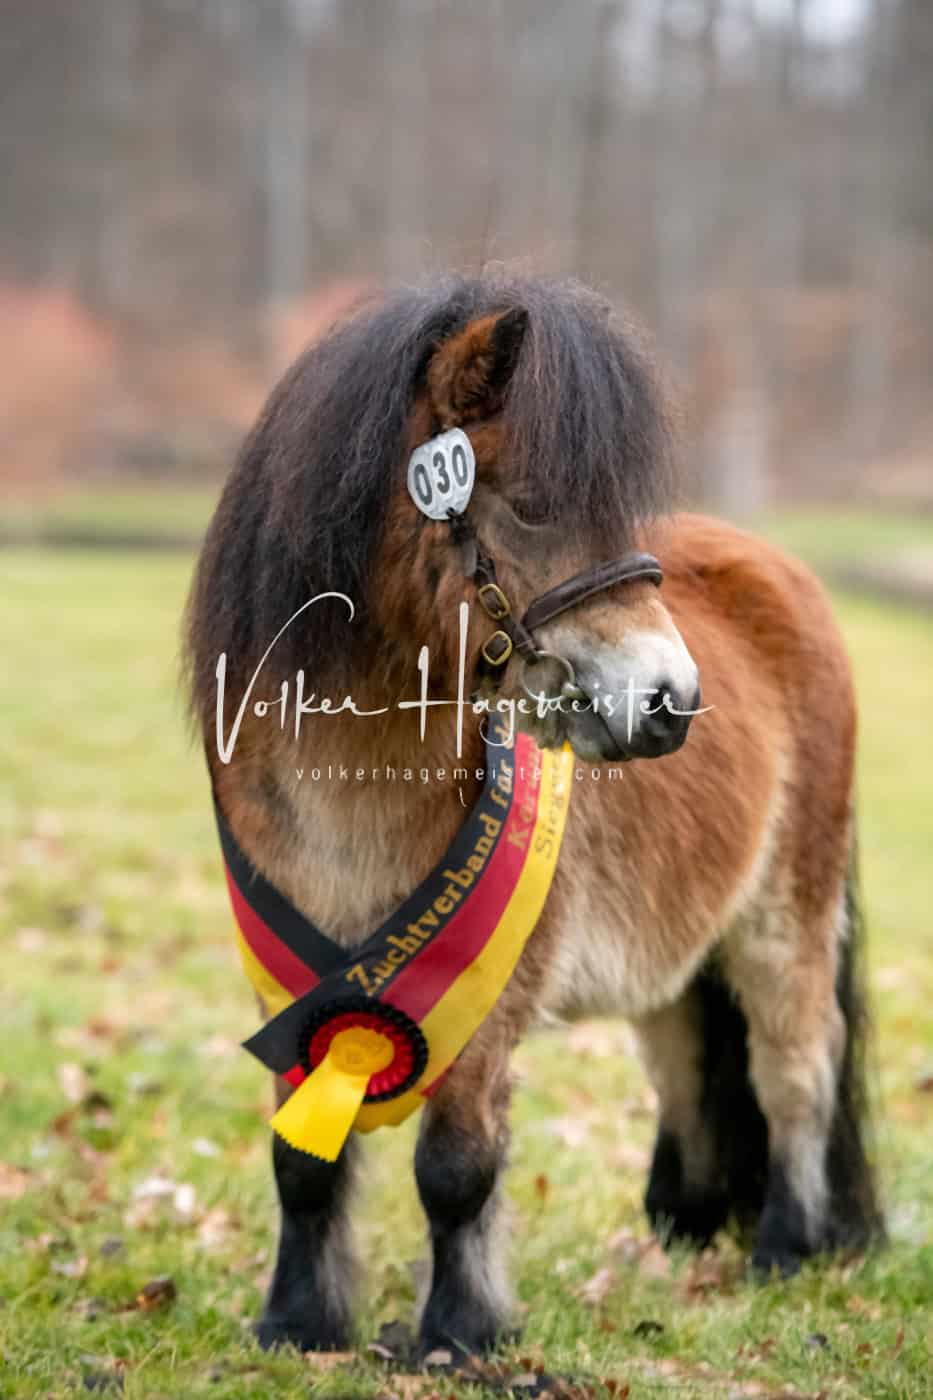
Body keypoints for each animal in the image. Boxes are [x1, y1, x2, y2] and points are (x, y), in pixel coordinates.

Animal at [184, 273, 882, 1359]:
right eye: (533, 504)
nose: (671, 700)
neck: (357, 792)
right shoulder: (292, 988)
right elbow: (300, 1165)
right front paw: (298, 1322)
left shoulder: (486, 998)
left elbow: (457, 1168)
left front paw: (461, 1333)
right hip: (679, 953)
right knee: (686, 1056)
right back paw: (683, 1230)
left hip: (785, 916)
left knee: (796, 1066)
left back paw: (786, 1247)